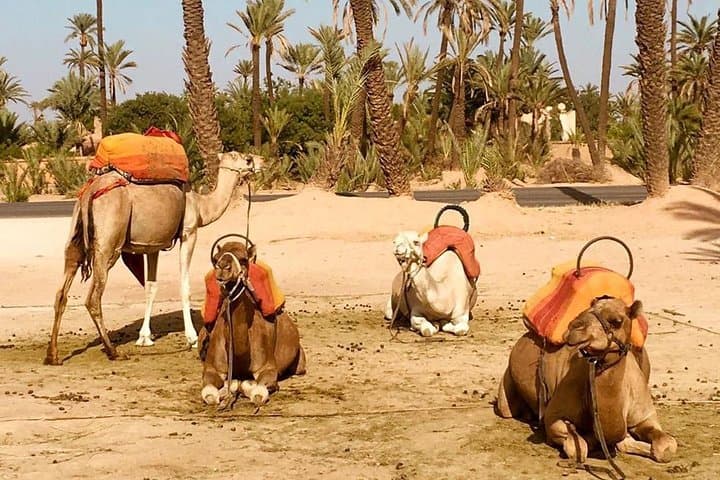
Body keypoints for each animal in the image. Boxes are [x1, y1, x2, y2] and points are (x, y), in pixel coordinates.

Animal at [45, 151, 263, 365]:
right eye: (247, 159)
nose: (261, 163)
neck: (201, 207)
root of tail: (90, 192)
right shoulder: (189, 232)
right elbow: (184, 285)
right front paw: (192, 338)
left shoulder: (153, 245)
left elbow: (150, 287)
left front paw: (144, 337)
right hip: (108, 244)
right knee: (93, 298)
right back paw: (113, 352)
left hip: (75, 238)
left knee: (61, 292)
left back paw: (52, 355)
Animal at [198, 241, 306, 406]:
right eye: (216, 258)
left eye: (243, 259)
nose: (223, 267)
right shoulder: (211, 368)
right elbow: (210, 394)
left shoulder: (267, 367)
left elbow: (257, 393)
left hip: (300, 362)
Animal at [496, 297, 677, 464]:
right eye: (588, 309)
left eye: (616, 321)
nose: (574, 326)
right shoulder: (553, 417)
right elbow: (579, 448)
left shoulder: (645, 416)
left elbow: (666, 445)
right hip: (506, 393)